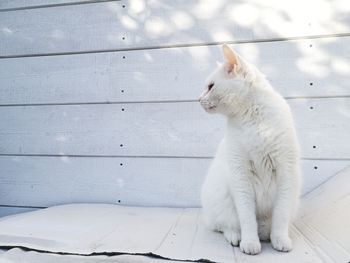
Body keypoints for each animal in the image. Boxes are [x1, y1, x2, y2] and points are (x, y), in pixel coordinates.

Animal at [200, 45, 300, 256]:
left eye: (211, 86)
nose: (198, 99)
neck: (252, 117)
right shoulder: (240, 176)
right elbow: (247, 217)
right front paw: (250, 243)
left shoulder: (286, 173)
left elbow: (280, 216)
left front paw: (280, 239)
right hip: (222, 202)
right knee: (225, 226)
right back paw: (236, 237)